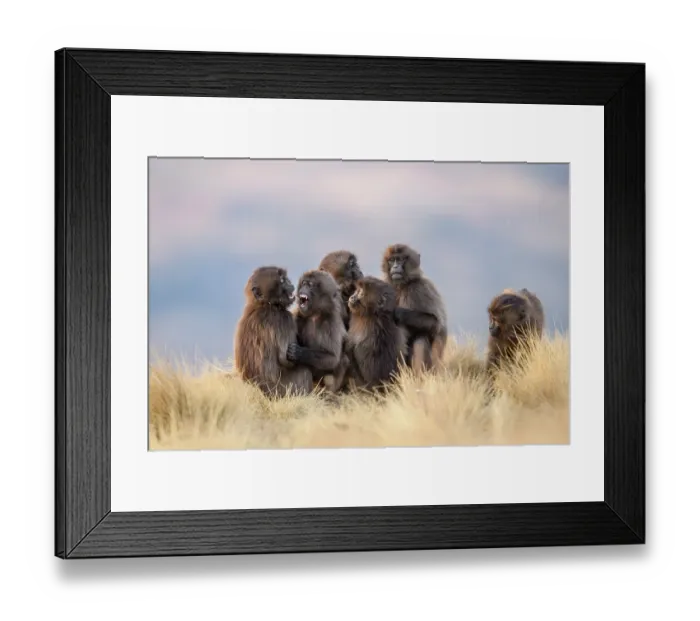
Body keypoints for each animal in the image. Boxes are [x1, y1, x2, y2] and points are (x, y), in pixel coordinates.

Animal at [233, 266, 313, 398]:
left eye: (284, 277)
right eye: (281, 280)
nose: (290, 283)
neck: (264, 304)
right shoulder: (284, 319)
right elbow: (286, 359)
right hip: (280, 391)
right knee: (304, 371)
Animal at [381, 243, 448, 373]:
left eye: (401, 259)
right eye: (392, 260)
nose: (395, 266)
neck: (401, 285)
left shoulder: (420, 288)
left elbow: (436, 324)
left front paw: (397, 312)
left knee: (421, 337)